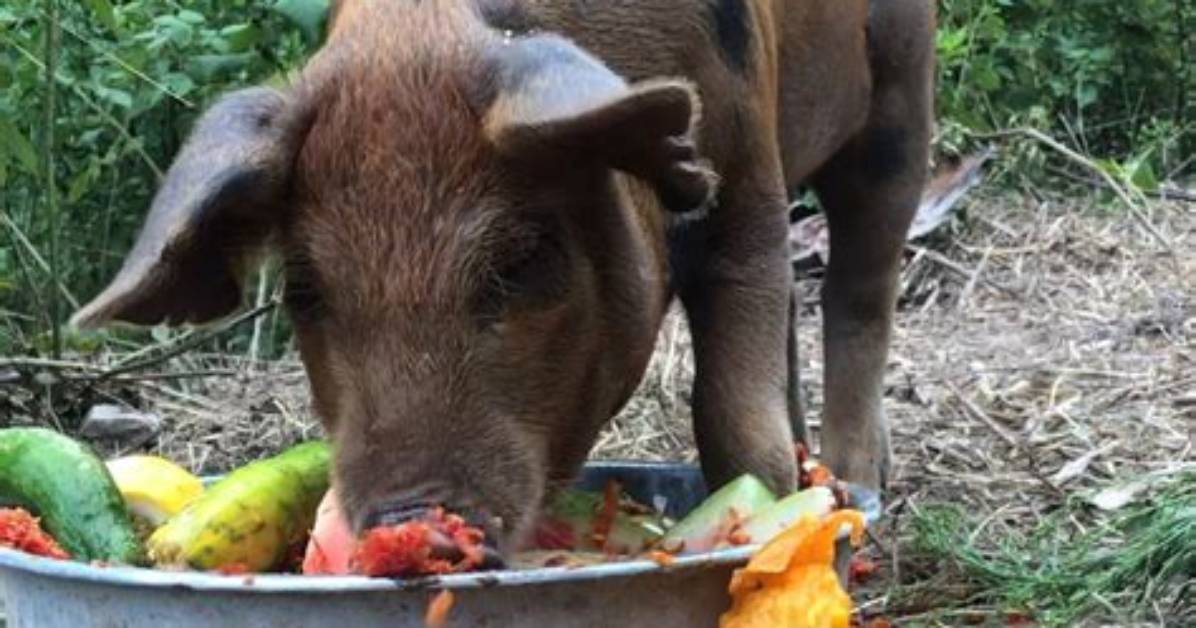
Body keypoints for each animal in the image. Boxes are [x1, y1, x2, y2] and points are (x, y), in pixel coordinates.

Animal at [73, 0, 934, 558]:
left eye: (520, 263)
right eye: (306, 292)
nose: (411, 515)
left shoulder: (747, 174)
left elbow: (729, 409)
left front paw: (772, 514)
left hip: (901, 95)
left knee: (859, 288)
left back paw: (860, 484)